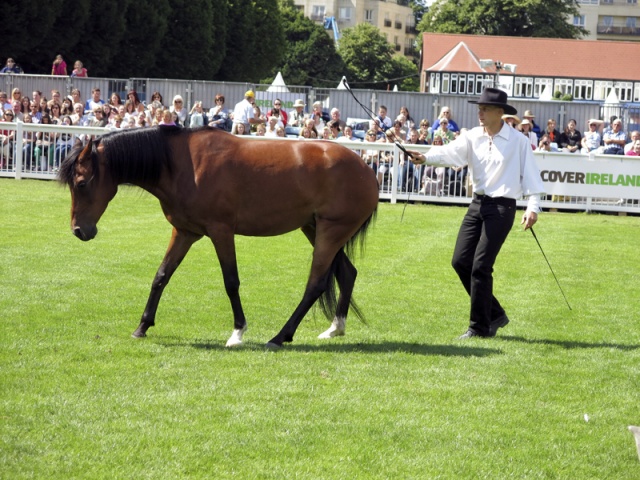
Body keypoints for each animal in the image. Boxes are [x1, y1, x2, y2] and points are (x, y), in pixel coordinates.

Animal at [58, 126, 378, 348]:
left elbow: (231, 281)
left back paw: (280, 337)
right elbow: (161, 276)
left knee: (316, 284)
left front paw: (237, 332)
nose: (79, 231)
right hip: (315, 229)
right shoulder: (184, 232)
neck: (182, 164)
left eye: (81, 183)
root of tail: (366, 169)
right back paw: (335, 328)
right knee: (347, 273)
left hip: (330, 232)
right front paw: (142, 326)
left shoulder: (221, 231)